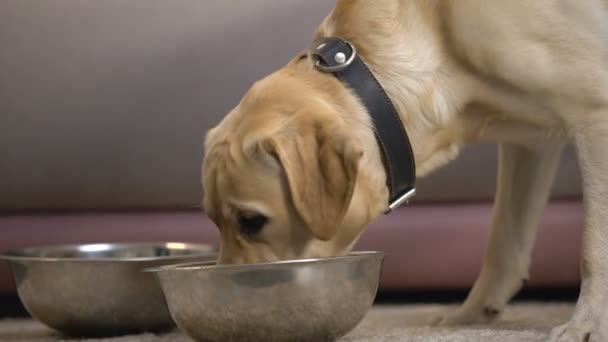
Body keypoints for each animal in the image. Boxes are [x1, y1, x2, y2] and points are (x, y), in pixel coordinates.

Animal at [202, 1, 608, 340]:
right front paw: (471, 314)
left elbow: (594, 246)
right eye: (214, 221)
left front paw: (587, 323)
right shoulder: (530, 144)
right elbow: (503, 243)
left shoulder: (595, 115)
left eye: (251, 221)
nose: (230, 311)